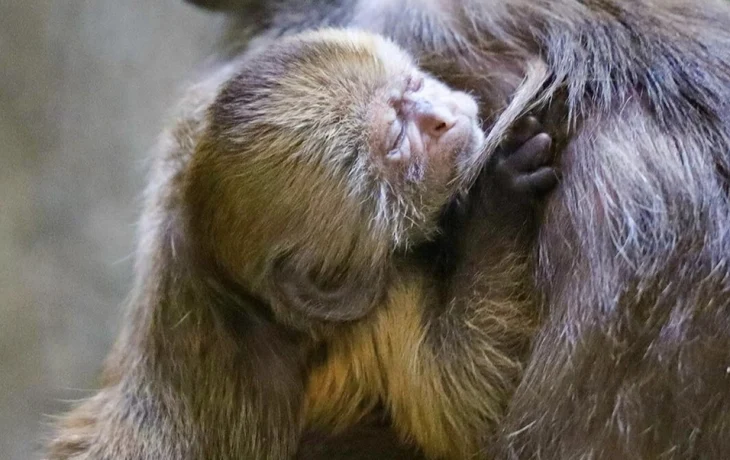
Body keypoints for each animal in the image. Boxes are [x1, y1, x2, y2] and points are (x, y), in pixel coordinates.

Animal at [182, 0, 730, 458]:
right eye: (397, 140)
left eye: (413, 88)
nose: (439, 119)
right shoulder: (384, 299)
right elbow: (464, 392)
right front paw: (499, 202)